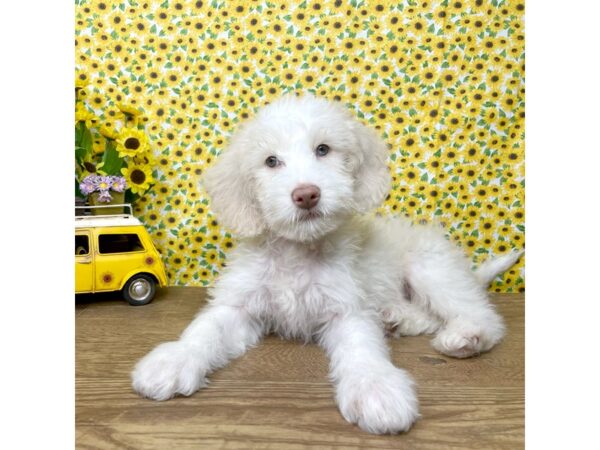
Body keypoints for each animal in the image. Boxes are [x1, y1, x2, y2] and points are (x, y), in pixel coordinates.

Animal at [131, 96, 520, 436]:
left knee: (481, 314)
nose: (306, 194)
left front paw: (376, 388)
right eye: (271, 161)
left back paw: (467, 336)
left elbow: (363, 350)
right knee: (430, 315)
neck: (298, 251)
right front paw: (175, 359)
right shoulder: (239, 306)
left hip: (430, 269)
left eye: (323, 150)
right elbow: (204, 331)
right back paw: (398, 318)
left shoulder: (347, 310)